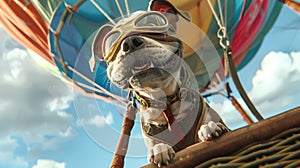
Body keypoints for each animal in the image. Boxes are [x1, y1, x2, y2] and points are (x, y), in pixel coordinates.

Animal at [90, 0, 229, 166]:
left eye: (152, 23)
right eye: (112, 44)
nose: (130, 42)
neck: (166, 102)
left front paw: (209, 127)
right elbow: (157, 145)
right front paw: (159, 149)